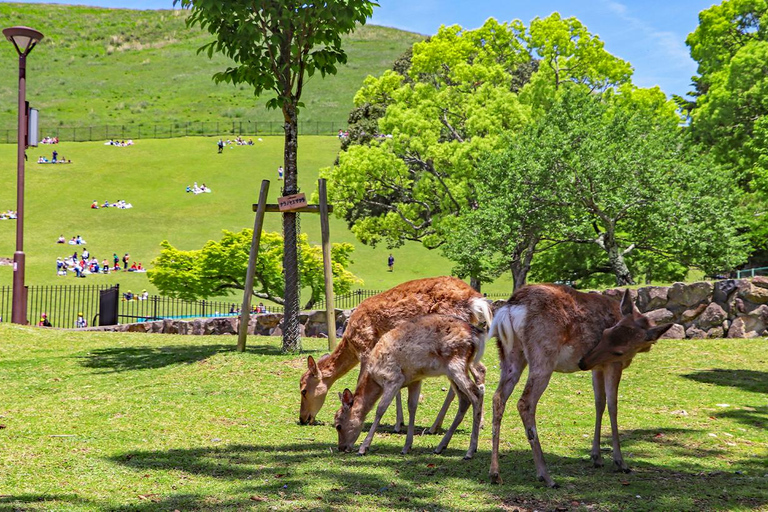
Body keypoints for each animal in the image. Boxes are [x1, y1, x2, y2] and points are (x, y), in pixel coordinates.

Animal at [296, 276, 488, 432]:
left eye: (303, 390)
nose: (303, 418)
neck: (351, 343)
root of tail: (475, 300)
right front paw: (399, 423)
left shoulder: (366, 349)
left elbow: (362, 382)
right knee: (480, 370)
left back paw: (436, 427)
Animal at [332, 314, 484, 458]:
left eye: (338, 425)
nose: (341, 447)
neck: (374, 377)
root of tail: (475, 335)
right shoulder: (414, 379)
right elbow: (412, 407)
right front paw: (406, 447)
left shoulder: (393, 377)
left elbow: (380, 409)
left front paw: (363, 448)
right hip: (453, 371)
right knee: (464, 400)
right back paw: (440, 447)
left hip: (456, 364)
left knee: (476, 394)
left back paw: (470, 451)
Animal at [486, 284, 672, 488]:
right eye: (606, 334)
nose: (583, 362)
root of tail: (510, 307)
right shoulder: (613, 364)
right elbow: (613, 405)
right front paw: (620, 462)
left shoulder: (597, 367)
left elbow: (599, 403)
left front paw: (597, 457)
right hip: (543, 354)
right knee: (524, 403)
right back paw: (546, 476)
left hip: (509, 353)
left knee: (498, 397)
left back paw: (495, 474)